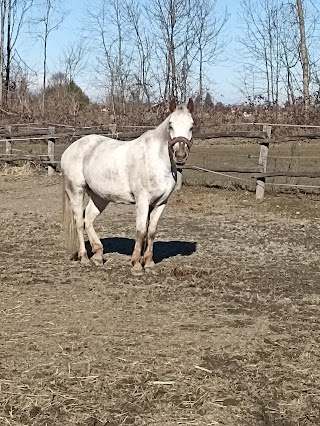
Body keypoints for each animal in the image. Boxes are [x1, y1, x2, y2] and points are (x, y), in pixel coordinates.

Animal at [61, 98, 194, 274]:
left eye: (191, 126)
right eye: (171, 125)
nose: (180, 155)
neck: (157, 160)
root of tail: (70, 149)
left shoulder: (161, 203)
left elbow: (151, 232)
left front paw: (149, 263)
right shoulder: (142, 201)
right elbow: (141, 231)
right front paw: (136, 265)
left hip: (99, 197)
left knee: (88, 219)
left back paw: (98, 256)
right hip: (76, 191)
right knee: (79, 222)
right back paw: (84, 258)